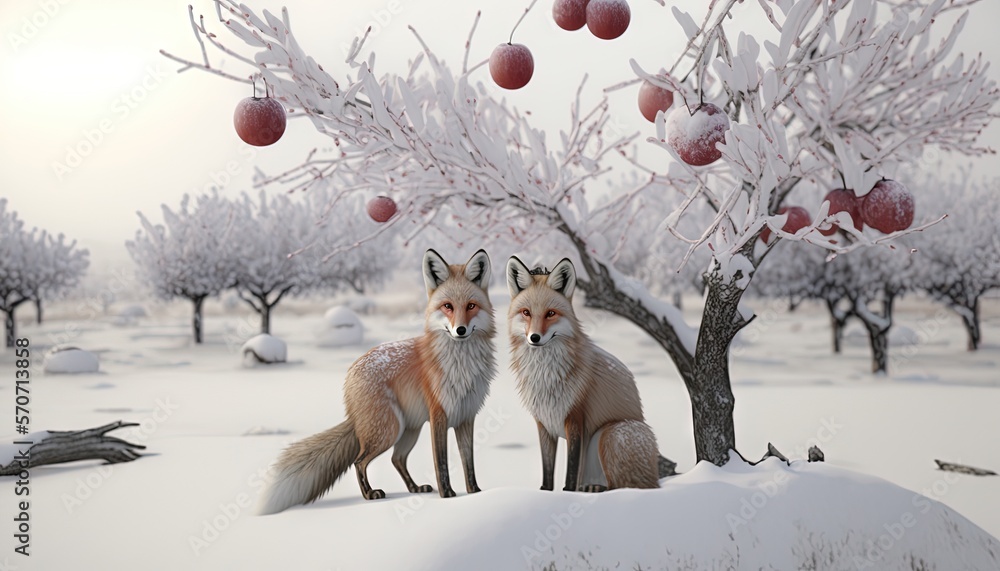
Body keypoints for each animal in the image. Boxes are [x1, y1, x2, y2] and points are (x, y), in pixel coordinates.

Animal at [256, 248, 494, 516]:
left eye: (471, 306)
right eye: (448, 306)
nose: (460, 330)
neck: (462, 366)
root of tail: (351, 371)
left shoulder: (466, 416)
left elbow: (468, 462)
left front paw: (475, 493)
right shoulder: (439, 416)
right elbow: (441, 463)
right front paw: (448, 497)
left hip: (409, 430)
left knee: (396, 459)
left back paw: (415, 488)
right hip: (388, 430)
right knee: (359, 461)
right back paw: (370, 494)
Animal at [508, 256, 664, 494]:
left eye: (550, 313)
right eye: (526, 312)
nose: (534, 337)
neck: (545, 376)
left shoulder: (576, 418)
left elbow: (572, 468)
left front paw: (567, 493)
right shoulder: (543, 422)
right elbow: (547, 471)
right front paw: (545, 493)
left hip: (609, 434)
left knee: (623, 486)